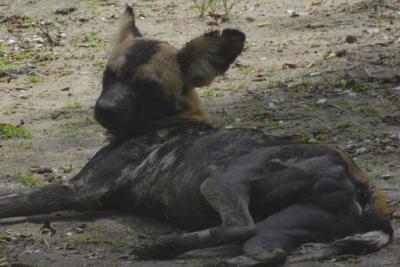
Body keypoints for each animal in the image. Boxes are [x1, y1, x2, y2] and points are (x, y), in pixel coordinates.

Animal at [0, 6, 394, 267]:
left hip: (219, 182)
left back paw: (166, 249)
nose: (104, 110)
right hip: (280, 225)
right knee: (265, 248)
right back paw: (184, 251)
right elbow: (8, 190)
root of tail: (363, 182)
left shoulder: (78, 190)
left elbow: (13, 201)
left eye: (147, 86)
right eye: (109, 75)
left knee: (239, 228)